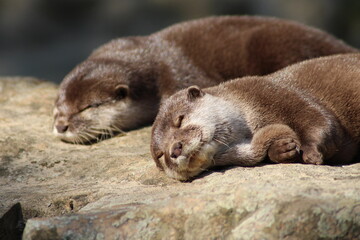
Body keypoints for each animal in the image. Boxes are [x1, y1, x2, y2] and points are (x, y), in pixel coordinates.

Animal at [151, 53, 360, 180]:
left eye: (180, 120)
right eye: (161, 155)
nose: (174, 149)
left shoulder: (281, 94)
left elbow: (320, 121)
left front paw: (311, 153)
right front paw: (282, 149)